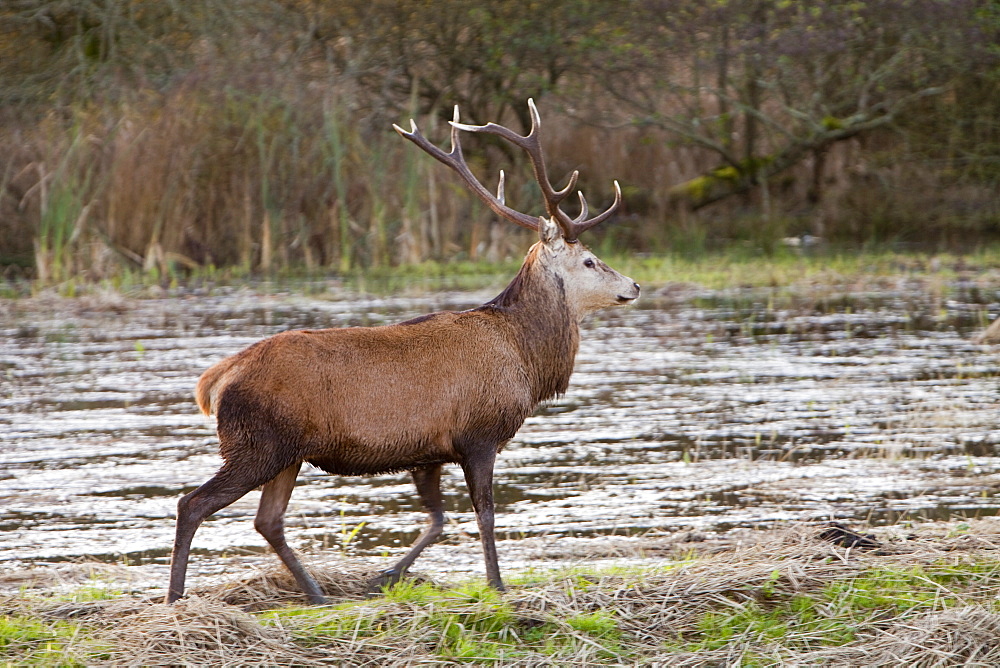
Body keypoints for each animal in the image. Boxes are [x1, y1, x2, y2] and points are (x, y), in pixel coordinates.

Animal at [166, 99, 640, 604]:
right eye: (589, 260)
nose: (634, 285)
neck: (525, 359)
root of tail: (216, 380)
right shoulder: (478, 434)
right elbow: (485, 514)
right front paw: (496, 585)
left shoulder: (428, 451)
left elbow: (438, 519)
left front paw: (385, 576)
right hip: (256, 443)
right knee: (193, 503)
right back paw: (175, 598)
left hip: (286, 453)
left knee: (267, 520)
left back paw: (317, 594)